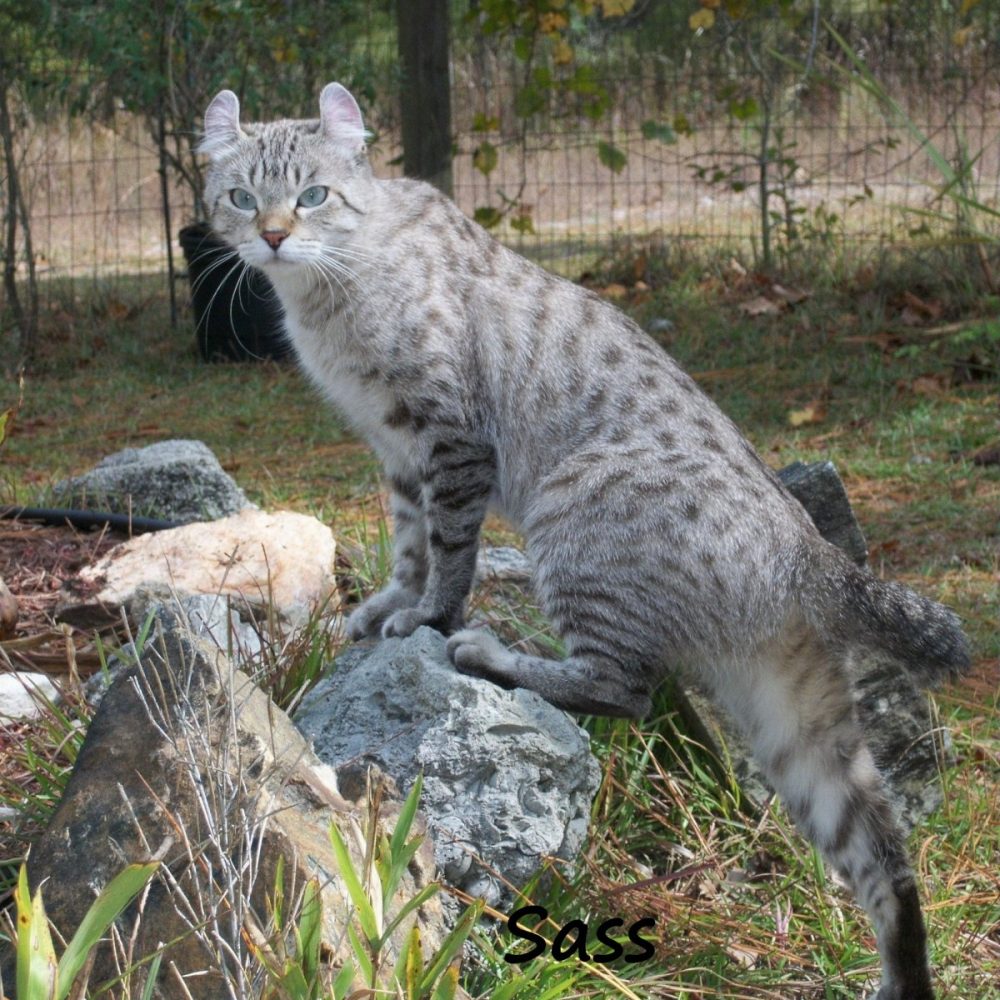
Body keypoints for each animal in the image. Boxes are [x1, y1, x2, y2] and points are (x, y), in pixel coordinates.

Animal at [201, 82, 968, 996]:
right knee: (883, 857)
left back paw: (493, 657)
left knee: (622, 688)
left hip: (570, 519)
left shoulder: (449, 438)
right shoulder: (396, 450)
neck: (331, 285)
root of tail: (803, 549)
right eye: (241, 196)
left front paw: (425, 618)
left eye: (313, 195)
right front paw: (387, 604)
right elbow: (408, 540)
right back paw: (899, 975)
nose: (274, 235)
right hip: (798, 722)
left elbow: (446, 552)